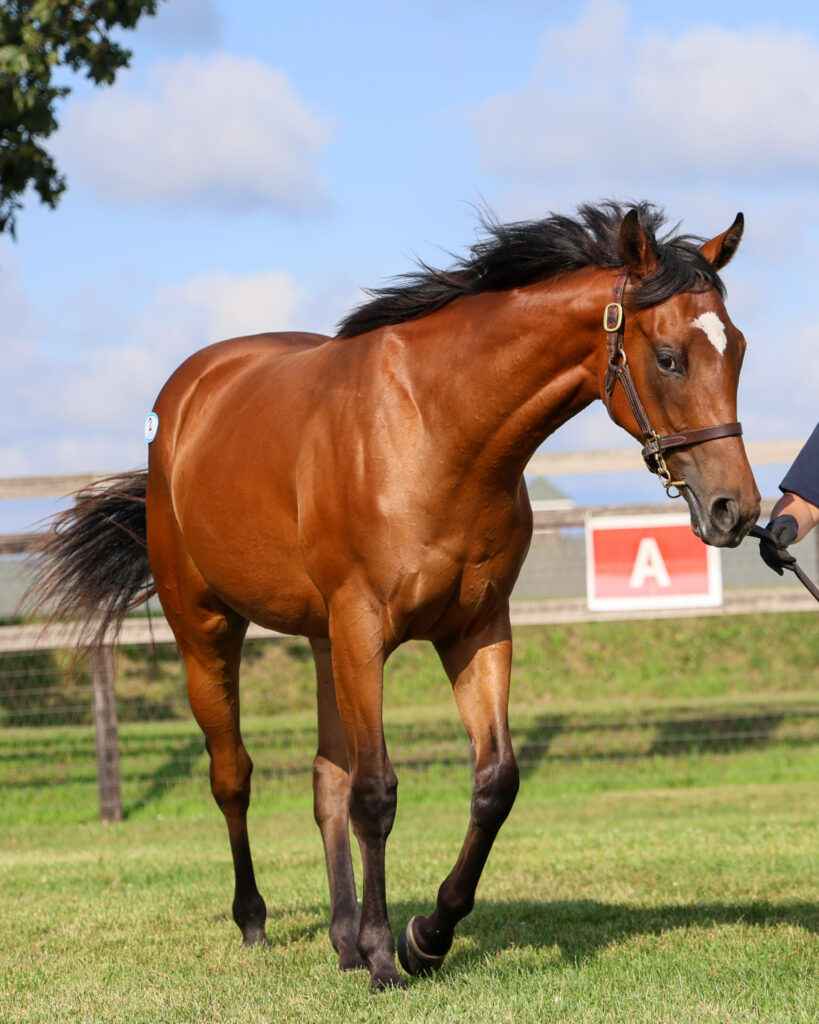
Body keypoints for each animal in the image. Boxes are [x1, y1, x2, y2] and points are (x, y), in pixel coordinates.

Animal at [30, 201, 761, 991]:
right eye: (668, 357)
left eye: (738, 350)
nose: (735, 510)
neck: (435, 429)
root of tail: (184, 402)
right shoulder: (363, 630)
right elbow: (376, 792)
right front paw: (388, 955)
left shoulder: (475, 630)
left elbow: (492, 782)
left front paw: (425, 937)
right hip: (208, 630)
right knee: (235, 777)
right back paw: (258, 923)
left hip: (322, 643)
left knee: (325, 779)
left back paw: (342, 939)